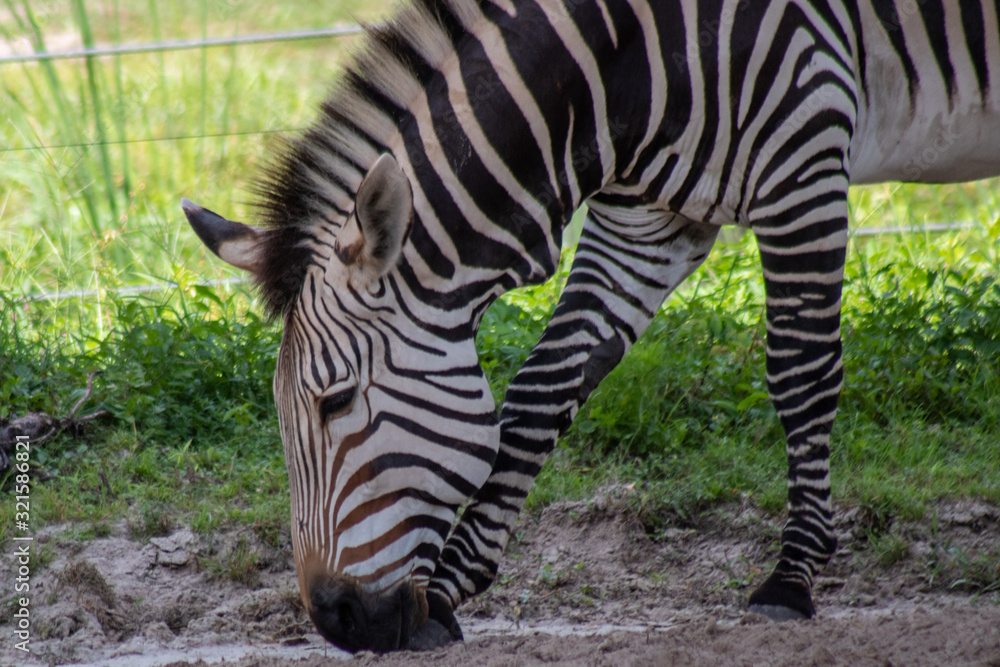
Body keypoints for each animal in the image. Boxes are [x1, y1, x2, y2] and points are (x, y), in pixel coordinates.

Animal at [182, 0, 1000, 653]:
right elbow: (542, 390)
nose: (336, 622)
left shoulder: (803, 159)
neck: (622, 67)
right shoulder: (648, 220)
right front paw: (445, 594)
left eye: (337, 401)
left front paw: (791, 576)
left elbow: (801, 371)